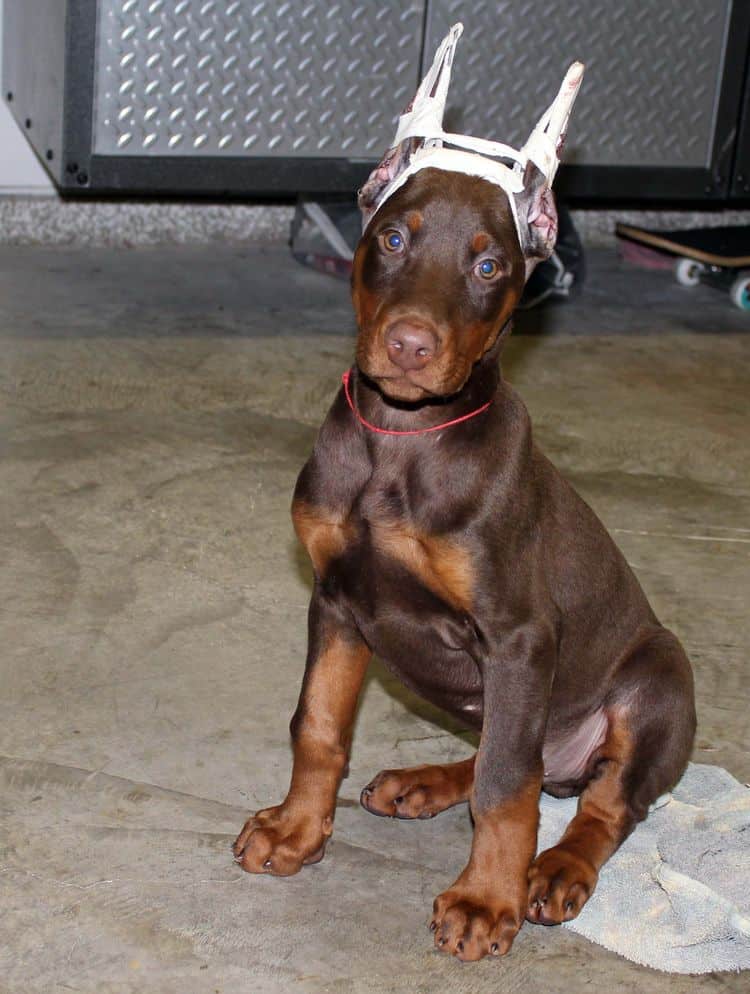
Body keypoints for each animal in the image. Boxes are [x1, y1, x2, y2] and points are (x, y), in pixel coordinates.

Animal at [235, 124, 700, 960]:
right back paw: (423, 783)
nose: (410, 346)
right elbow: (318, 724)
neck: (402, 436)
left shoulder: (518, 636)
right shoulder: (336, 601)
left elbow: (507, 786)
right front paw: (296, 830)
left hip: (658, 679)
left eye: (488, 266)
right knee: (515, 758)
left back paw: (557, 868)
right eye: (392, 238)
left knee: (599, 799)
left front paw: (486, 899)